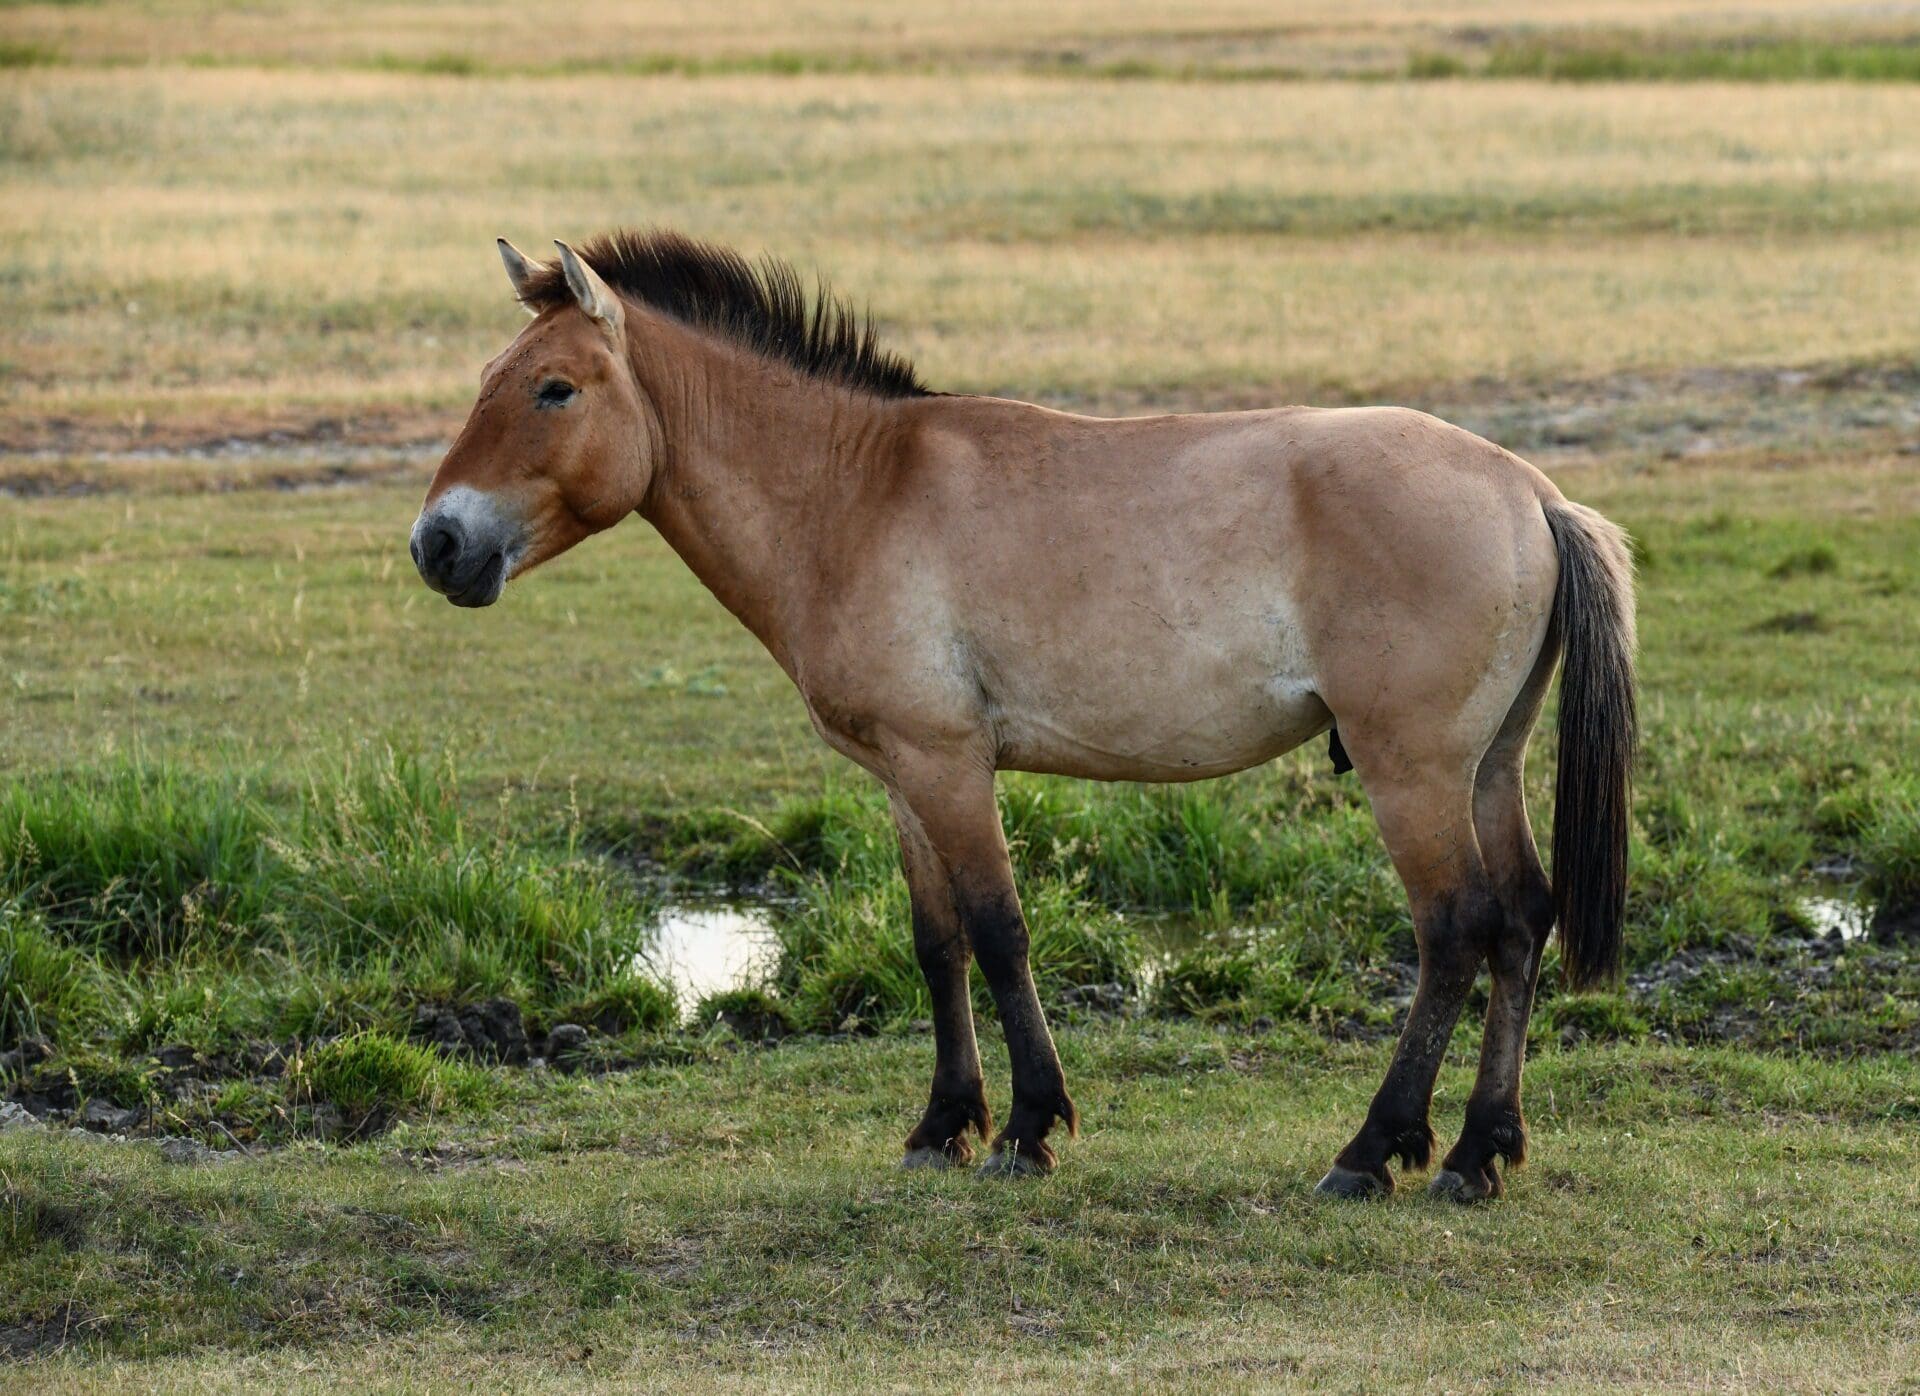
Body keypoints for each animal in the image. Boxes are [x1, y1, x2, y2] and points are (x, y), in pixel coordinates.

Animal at [408, 229, 1635, 1198]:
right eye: (493, 375)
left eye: (555, 389)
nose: (438, 544)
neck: (852, 492)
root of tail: (1530, 491)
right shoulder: (905, 774)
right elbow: (936, 940)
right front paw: (945, 1124)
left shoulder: (952, 765)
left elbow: (999, 931)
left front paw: (1031, 1128)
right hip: (1489, 767)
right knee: (1521, 920)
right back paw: (1482, 1149)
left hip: (1410, 772)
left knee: (1454, 930)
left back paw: (1376, 1151)